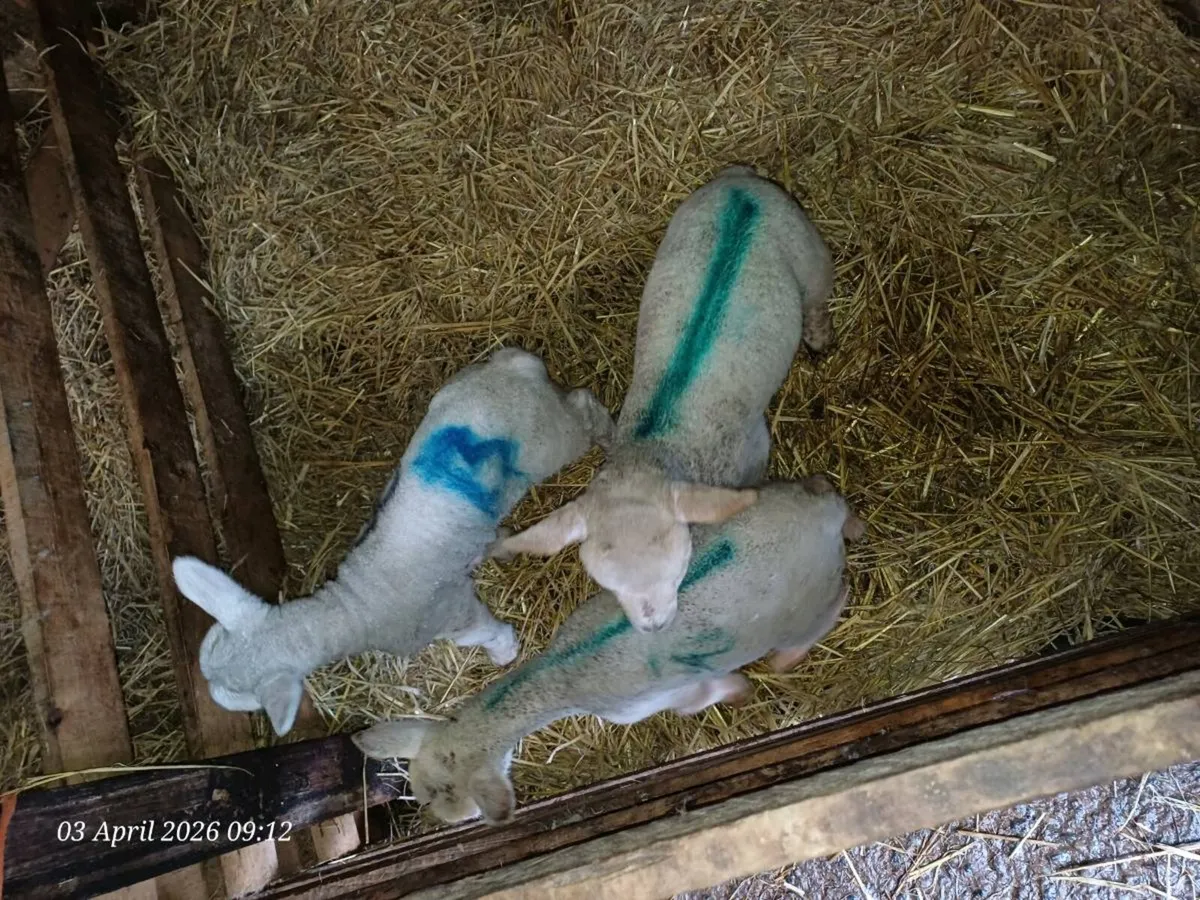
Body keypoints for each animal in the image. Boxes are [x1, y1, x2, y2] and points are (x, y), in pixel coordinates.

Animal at [171, 347, 613, 736]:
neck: (353, 607)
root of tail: (515, 369)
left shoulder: (449, 613)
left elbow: (482, 631)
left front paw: (505, 652)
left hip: (554, 439)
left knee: (582, 407)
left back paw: (609, 435)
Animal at [354, 477, 862, 825]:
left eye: (463, 811)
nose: (434, 818)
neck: (560, 676)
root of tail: (822, 516)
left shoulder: (657, 699)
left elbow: (699, 698)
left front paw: (739, 691)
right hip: (784, 493)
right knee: (825, 488)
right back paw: (853, 523)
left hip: (808, 606)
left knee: (834, 602)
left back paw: (786, 658)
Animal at [491, 165, 835, 633]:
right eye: (608, 586)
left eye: (680, 572)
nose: (653, 628)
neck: (650, 448)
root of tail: (742, 185)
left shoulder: (751, 454)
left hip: (807, 248)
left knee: (818, 292)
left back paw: (819, 335)